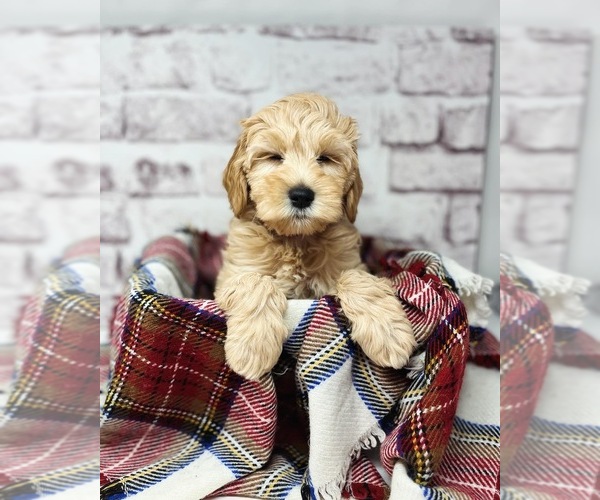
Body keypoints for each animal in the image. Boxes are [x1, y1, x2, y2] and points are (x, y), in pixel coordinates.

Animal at [216, 93, 418, 378]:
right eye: (274, 157)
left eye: (325, 158)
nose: (301, 195)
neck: (295, 239)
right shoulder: (235, 273)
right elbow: (256, 281)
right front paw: (252, 348)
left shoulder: (348, 262)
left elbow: (355, 277)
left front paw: (388, 332)